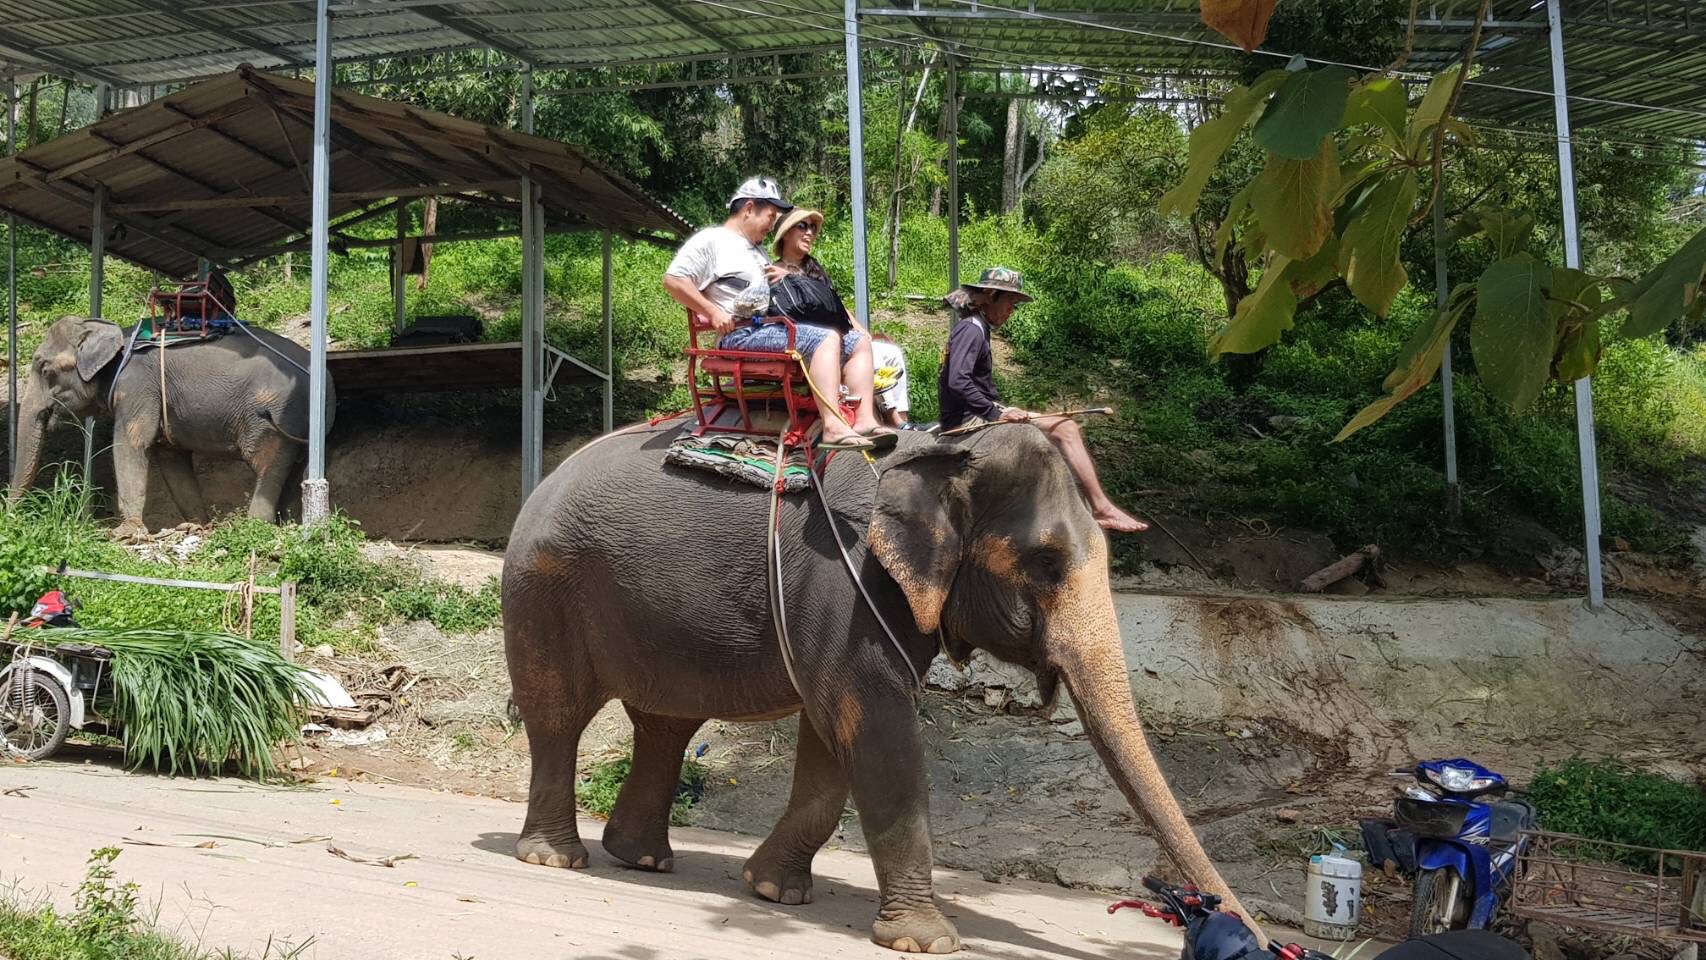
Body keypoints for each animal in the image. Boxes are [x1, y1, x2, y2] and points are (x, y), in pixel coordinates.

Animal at [10, 315, 329, 535]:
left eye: (45, 369)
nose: (14, 518)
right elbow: (170, 458)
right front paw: (195, 527)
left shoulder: (137, 387)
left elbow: (131, 443)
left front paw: (125, 534)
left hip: (274, 418)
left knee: (266, 462)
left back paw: (255, 526)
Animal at [502, 419, 1257, 953]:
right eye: (1045, 565)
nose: (1247, 936)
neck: (947, 453)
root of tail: (546, 478)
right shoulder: (848, 588)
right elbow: (873, 725)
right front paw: (928, 942)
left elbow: (832, 735)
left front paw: (774, 891)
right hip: (543, 587)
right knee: (557, 716)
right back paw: (557, 857)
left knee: (665, 723)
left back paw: (644, 860)